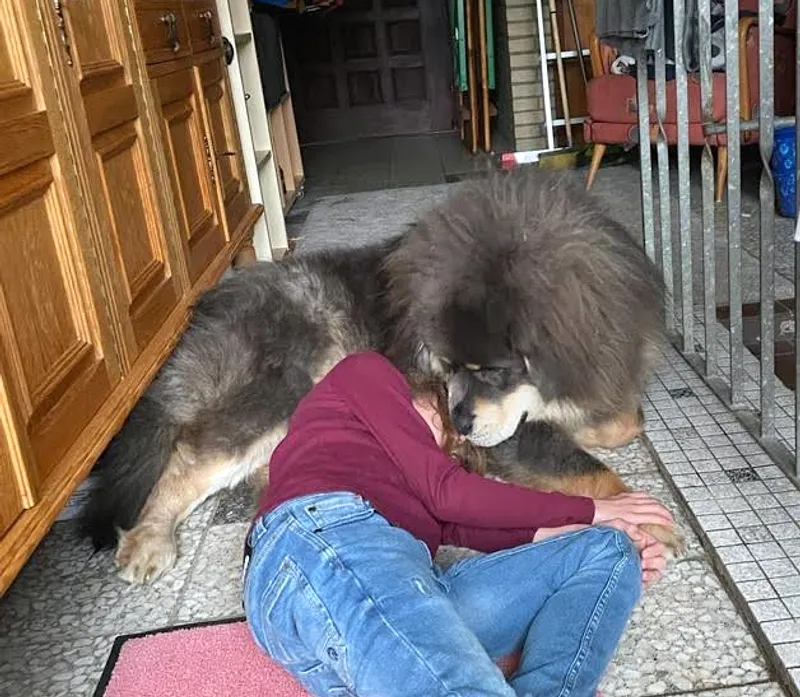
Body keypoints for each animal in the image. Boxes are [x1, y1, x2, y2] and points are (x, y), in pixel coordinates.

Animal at [79, 168, 679, 585]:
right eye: (450, 368)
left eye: (491, 370)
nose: (458, 425)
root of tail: (210, 308)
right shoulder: (512, 435)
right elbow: (587, 470)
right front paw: (644, 517)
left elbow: (626, 420)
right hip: (282, 391)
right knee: (188, 456)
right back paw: (148, 540)